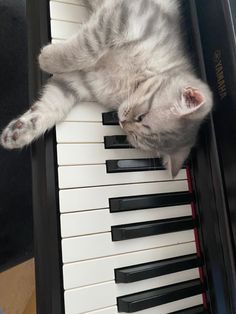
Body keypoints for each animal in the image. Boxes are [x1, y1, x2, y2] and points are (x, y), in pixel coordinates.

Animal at [0, 0, 214, 177]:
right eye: (141, 117)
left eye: (134, 138)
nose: (122, 122)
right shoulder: (123, 18)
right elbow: (85, 48)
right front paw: (47, 57)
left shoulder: (83, 81)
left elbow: (52, 107)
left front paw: (19, 131)